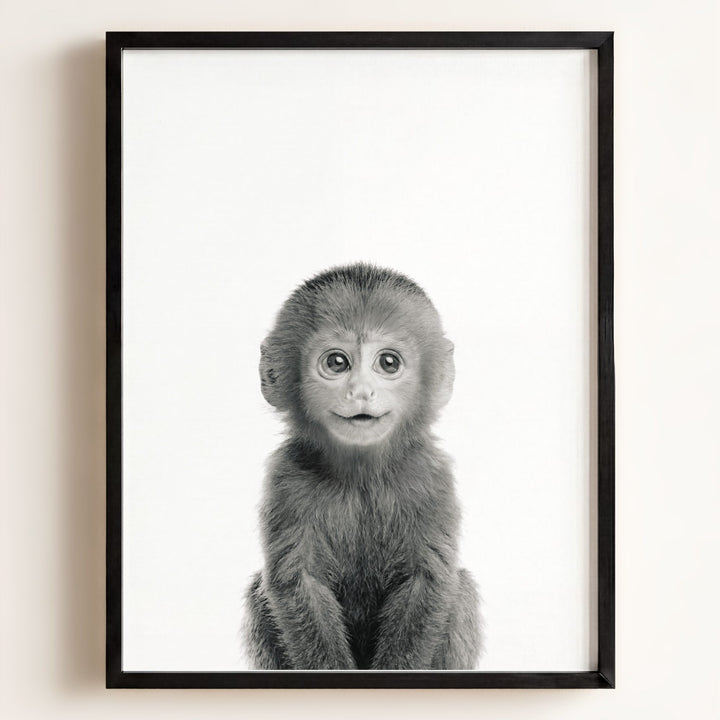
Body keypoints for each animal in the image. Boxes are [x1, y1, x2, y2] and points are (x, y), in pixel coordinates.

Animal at [243, 263, 481, 670]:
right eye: (337, 363)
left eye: (388, 363)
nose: (360, 392)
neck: (362, 477)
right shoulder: (287, 477)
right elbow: (298, 583)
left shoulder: (431, 475)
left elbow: (427, 581)